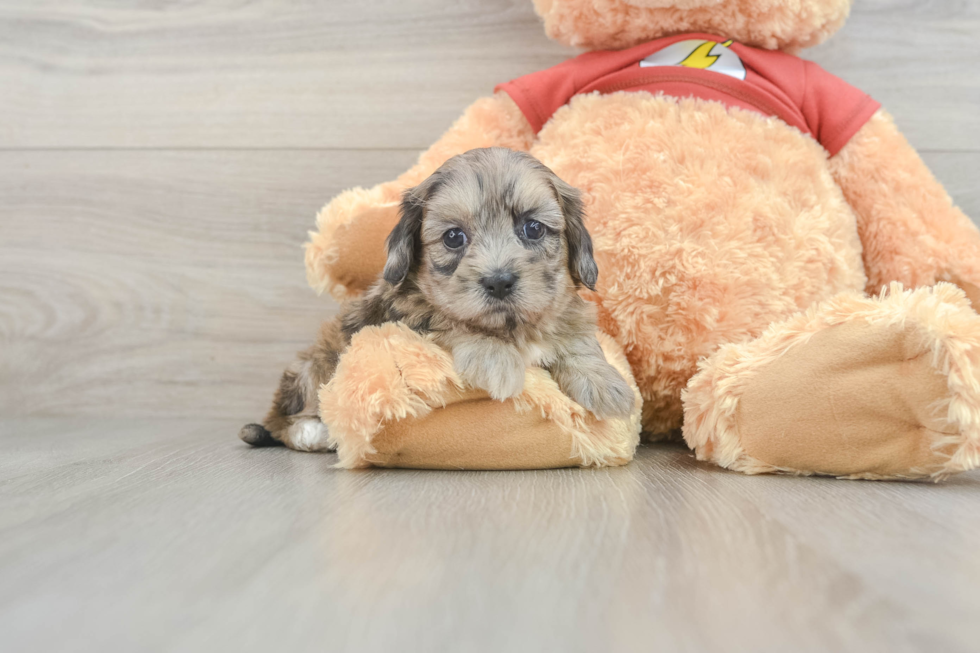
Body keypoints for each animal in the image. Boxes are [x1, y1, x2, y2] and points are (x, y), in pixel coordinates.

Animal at [241, 146, 632, 454]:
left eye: (533, 228)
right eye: (454, 237)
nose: (499, 282)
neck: (513, 329)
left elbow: (577, 341)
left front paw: (604, 383)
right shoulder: (408, 314)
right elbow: (448, 320)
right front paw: (497, 361)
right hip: (318, 361)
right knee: (284, 419)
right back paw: (312, 432)